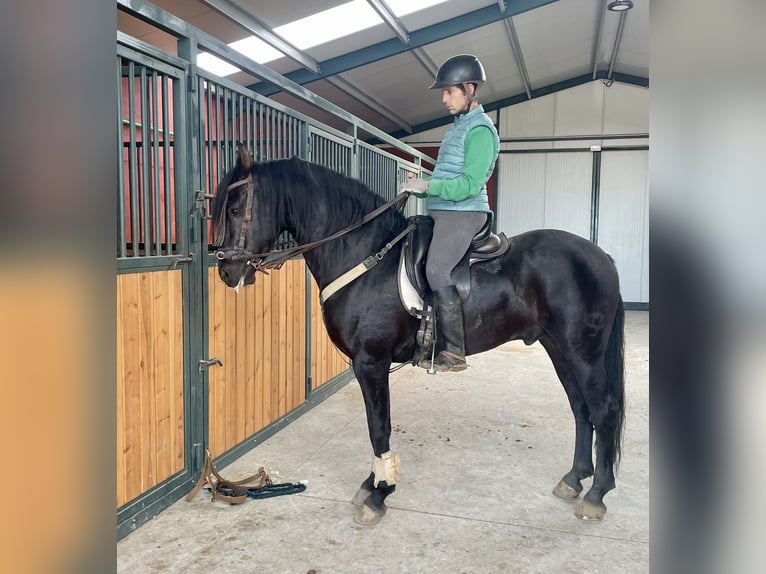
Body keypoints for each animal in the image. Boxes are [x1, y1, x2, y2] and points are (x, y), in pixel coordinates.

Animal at [213, 150, 628, 528]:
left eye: (233, 209)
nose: (226, 271)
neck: (365, 256)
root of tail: (601, 256)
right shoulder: (367, 364)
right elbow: (375, 426)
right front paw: (373, 484)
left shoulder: (372, 361)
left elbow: (379, 427)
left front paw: (379, 494)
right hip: (559, 349)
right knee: (580, 409)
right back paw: (574, 479)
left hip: (583, 353)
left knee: (603, 410)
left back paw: (596, 494)